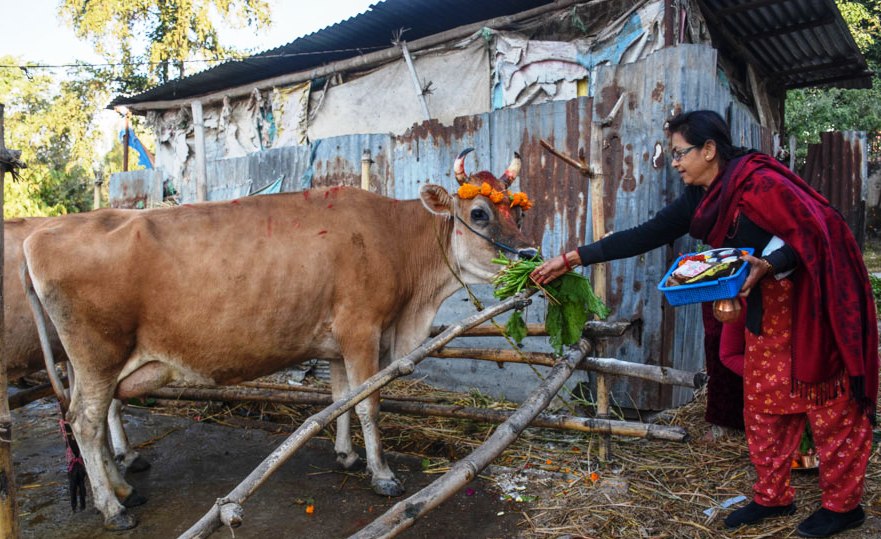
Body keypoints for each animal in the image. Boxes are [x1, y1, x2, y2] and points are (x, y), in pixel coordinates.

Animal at [25, 152, 536, 532]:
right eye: (478, 213)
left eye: (518, 211)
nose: (531, 255)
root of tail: (43, 232)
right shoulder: (362, 328)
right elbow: (369, 403)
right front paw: (383, 475)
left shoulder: (338, 341)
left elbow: (342, 398)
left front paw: (347, 455)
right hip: (98, 355)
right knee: (86, 421)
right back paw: (113, 509)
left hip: (92, 363)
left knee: (94, 417)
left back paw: (123, 489)